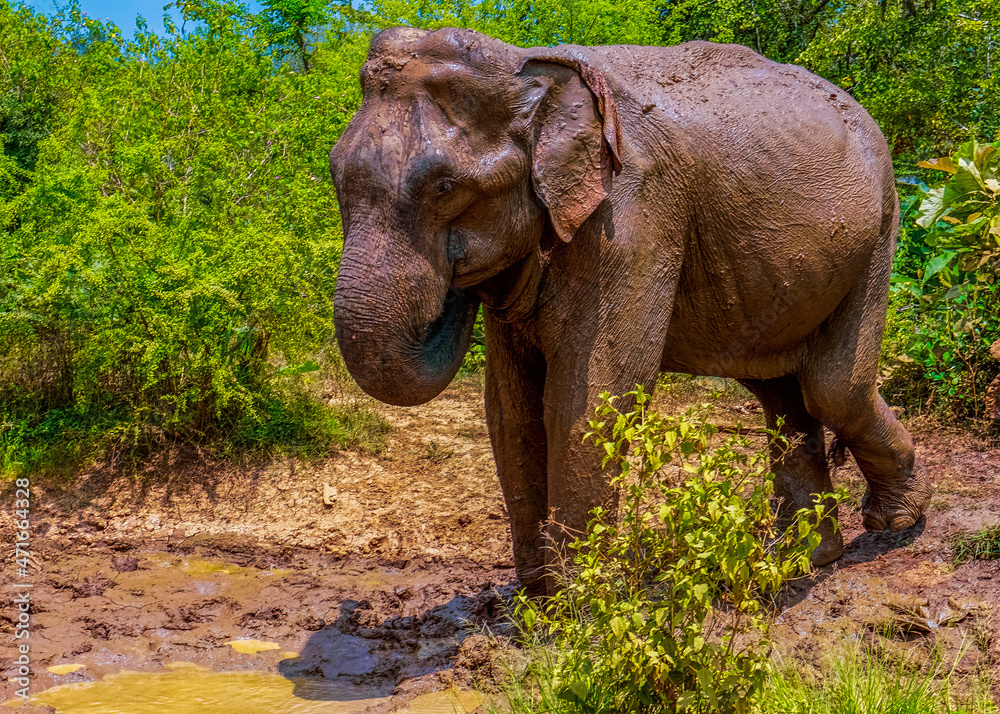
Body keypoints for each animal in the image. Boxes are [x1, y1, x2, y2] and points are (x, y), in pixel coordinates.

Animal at [329, 27, 933, 594]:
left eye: (446, 188)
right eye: (334, 177)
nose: (456, 289)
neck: (524, 65)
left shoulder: (632, 216)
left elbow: (591, 395)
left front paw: (576, 608)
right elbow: (510, 407)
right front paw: (533, 604)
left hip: (880, 227)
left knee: (832, 387)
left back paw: (893, 522)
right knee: (783, 395)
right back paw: (801, 561)